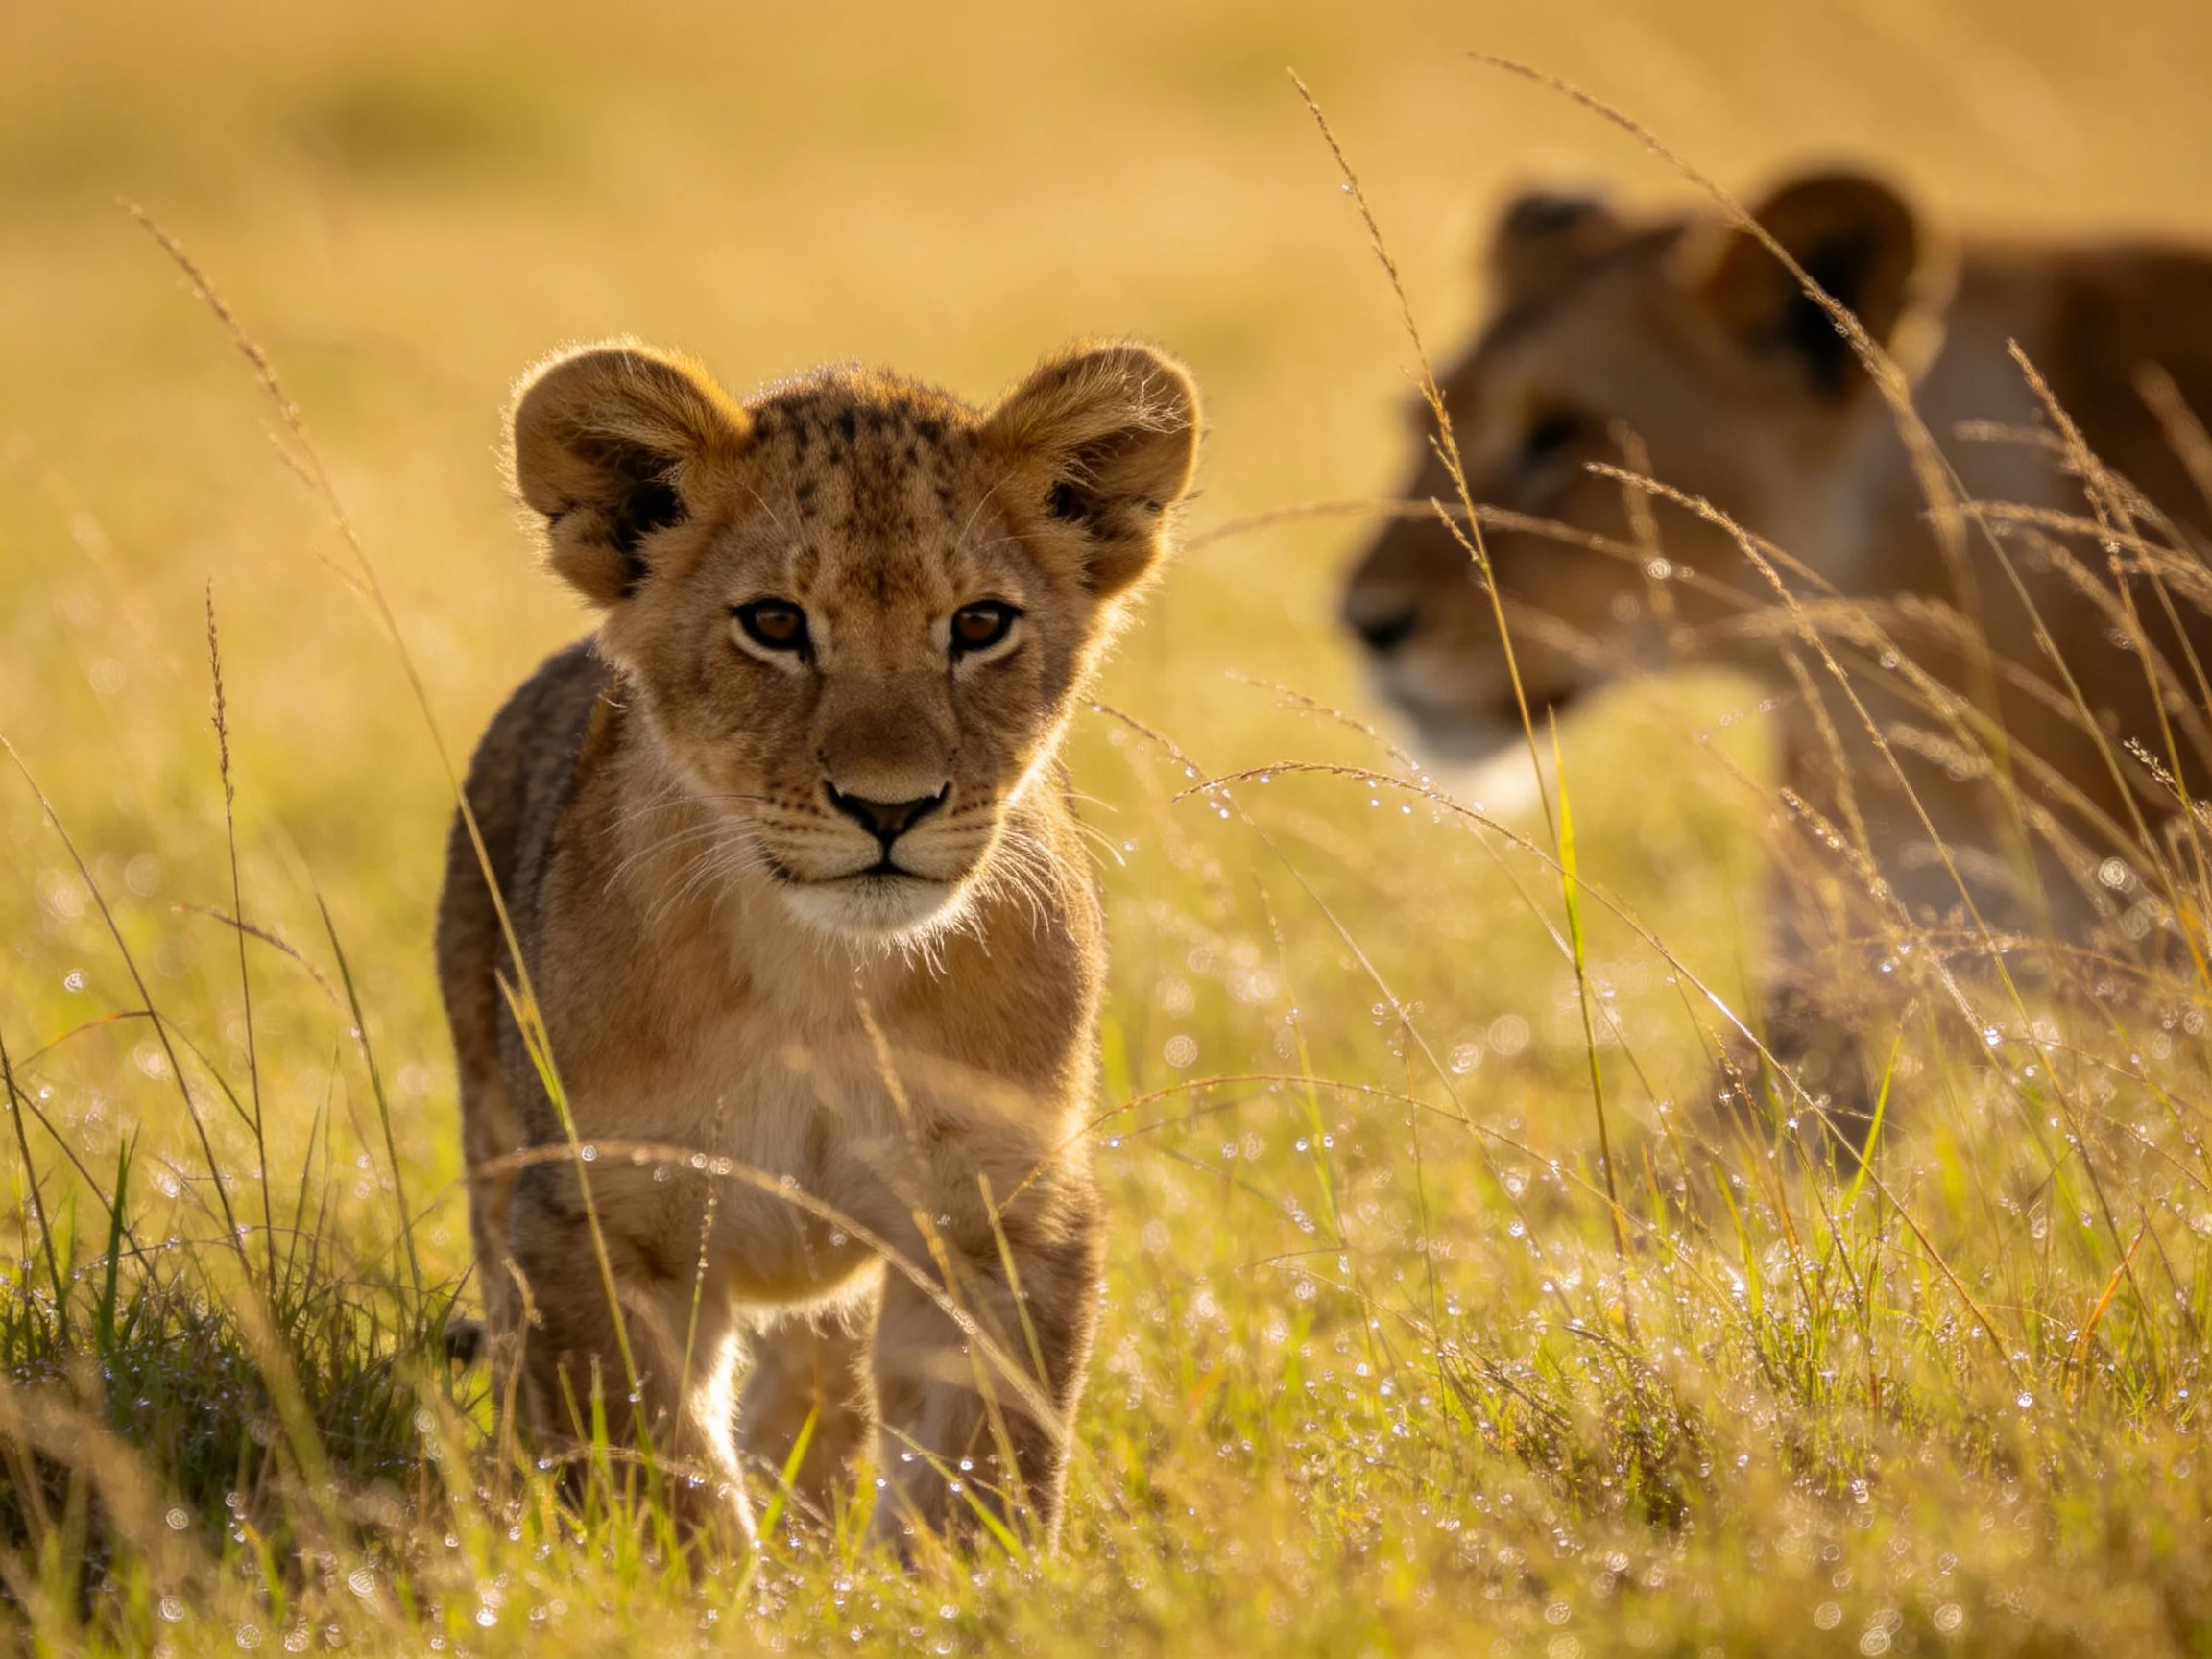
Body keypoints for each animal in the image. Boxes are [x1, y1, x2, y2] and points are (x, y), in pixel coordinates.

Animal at [435, 336, 1201, 1550]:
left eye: (978, 625)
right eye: (776, 625)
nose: (891, 807)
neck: (826, 976)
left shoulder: (1003, 1208)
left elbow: (981, 1463)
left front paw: (955, 1581)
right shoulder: (599, 1210)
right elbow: (661, 1469)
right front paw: (697, 1580)